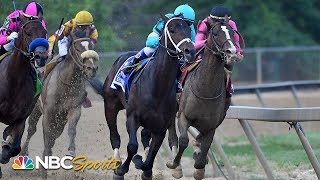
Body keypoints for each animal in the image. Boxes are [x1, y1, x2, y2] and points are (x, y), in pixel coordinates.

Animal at [0, 17, 47, 175]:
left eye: (44, 33)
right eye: (28, 33)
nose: (41, 56)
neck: (13, 80)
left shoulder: (20, 118)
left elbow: (15, 148)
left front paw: (5, 153)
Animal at [19, 33, 99, 177]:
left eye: (92, 47)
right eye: (78, 48)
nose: (92, 69)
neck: (67, 82)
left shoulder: (74, 109)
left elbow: (71, 130)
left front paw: (71, 151)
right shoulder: (48, 112)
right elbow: (47, 134)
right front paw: (44, 163)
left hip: (60, 120)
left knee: (54, 135)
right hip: (36, 109)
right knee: (32, 130)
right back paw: (23, 154)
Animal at [104, 15, 196, 179]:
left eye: (187, 29)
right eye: (172, 29)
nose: (190, 51)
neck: (157, 87)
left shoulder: (161, 128)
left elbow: (151, 157)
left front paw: (144, 166)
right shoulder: (132, 117)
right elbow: (132, 146)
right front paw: (123, 168)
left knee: (144, 135)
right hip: (110, 105)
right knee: (115, 136)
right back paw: (117, 162)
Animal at [166, 16, 239, 179]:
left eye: (232, 32)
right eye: (216, 33)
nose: (232, 52)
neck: (206, 90)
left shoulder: (211, 125)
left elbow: (204, 149)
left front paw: (199, 168)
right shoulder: (183, 116)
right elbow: (183, 140)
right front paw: (174, 164)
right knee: (172, 132)